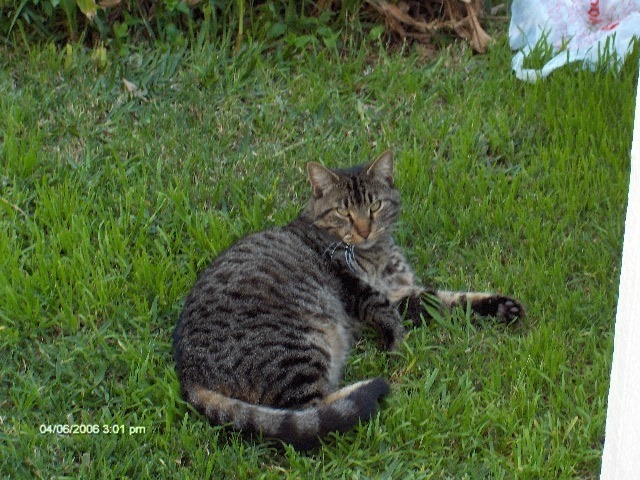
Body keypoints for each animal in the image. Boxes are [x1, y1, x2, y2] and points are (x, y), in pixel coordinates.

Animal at [172, 153, 524, 450]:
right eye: (344, 211)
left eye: (375, 206)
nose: (364, 230)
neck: (376, 254)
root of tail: (187, 374)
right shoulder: (356, 288)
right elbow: (388, 314)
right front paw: (396, 347)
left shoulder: (404, 294)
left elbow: (452, 299)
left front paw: (502, 306)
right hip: (296, 347)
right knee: (310, 416)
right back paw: (368, 386)